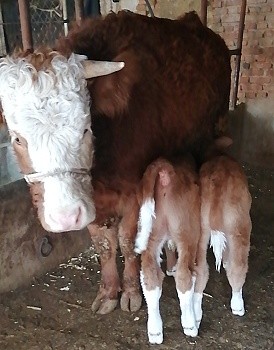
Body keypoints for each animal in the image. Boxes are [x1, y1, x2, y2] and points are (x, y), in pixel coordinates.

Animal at [0, 10, 231, 314]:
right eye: (17, 139)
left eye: (86, 128)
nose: (65, 217)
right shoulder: (92, 199)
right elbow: (104, 244)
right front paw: (109, 291)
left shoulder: (134, 191)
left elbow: (127, 241)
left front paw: (131, 292)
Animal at [134, 157, 200, 344]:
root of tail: (164, 169)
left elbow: (169, 246)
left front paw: (171, 268)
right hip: (188, 232)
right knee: (185, 275)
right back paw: (190, 325)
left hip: (151, 233)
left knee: (150, 276)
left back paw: (155, 331)